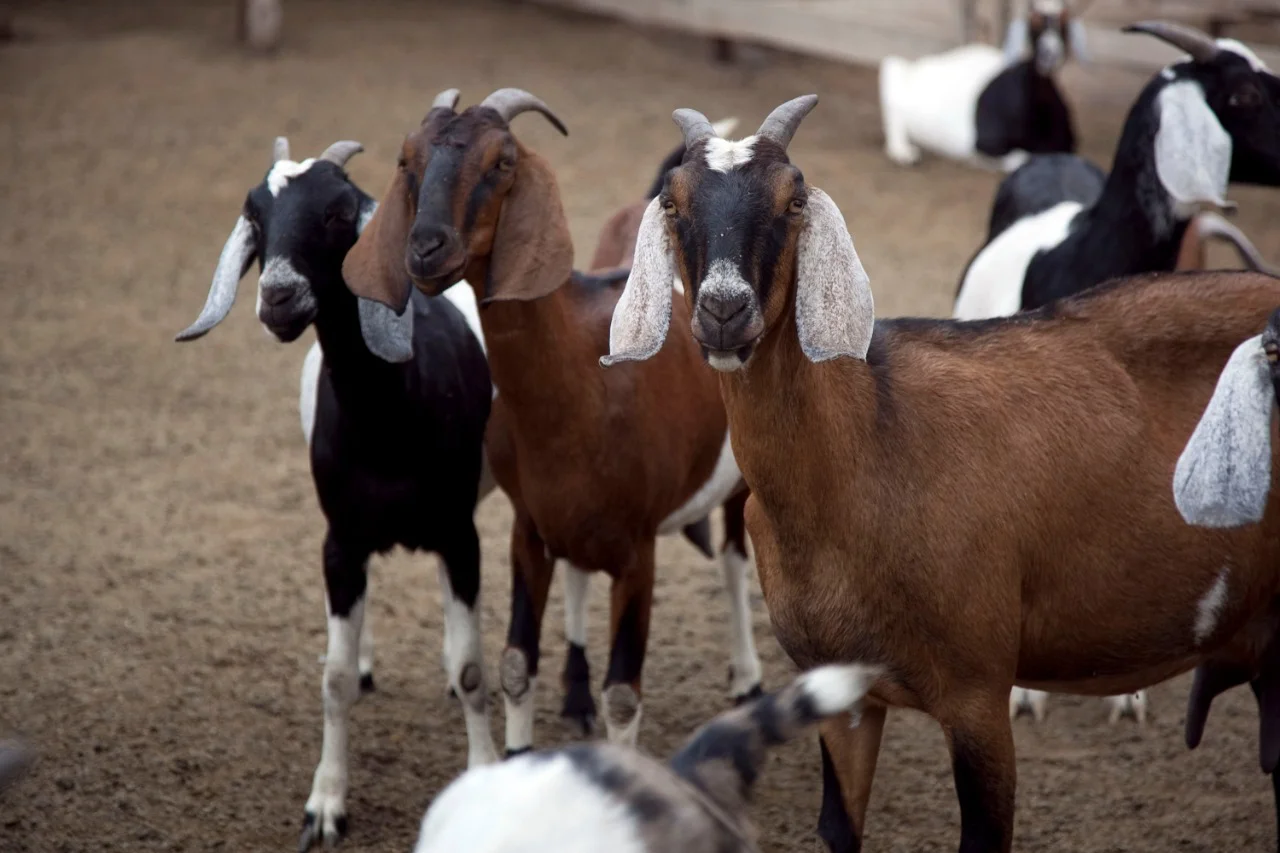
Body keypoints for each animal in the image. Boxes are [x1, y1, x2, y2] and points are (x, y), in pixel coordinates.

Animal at [174, 130, 496, 851]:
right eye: (256, 216)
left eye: (338, 213)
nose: (279, 297)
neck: (391, 418)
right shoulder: (340, 542)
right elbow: (334, 677)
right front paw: (325, 803)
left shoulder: (460, 533)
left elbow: (472, 669)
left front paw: (484, 772)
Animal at [344, 89, 763, 755]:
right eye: (407, 159)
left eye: (502, 163)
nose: (426, 248)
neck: (585, 376)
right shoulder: (529, 528)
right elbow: (516, 665)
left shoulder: (638, 550)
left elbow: (624, 694)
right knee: (581, 575)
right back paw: (575, 694)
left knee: (731, 558)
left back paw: (748, 679)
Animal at [603, 94, 1280, 852]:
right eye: (673, 200)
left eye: (794, 198)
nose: (724, 309)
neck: (869, 447)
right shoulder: (842, 696)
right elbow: (838, 827)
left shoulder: (976, 694)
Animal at [879, 0, 1084, 170]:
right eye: (1032, 23)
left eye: (1065, 24)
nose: (1050, 55)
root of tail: (918, 66)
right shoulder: (988, 143)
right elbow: (1020, 159)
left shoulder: (1068, 140)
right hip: (892, 73)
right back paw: (905, 153)